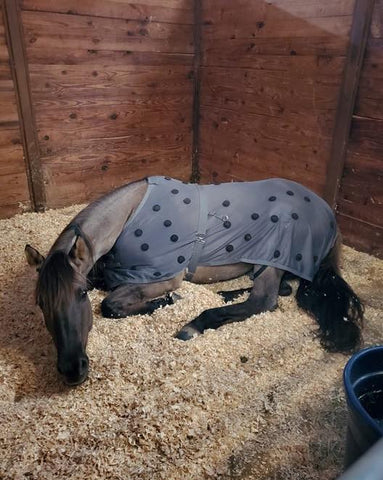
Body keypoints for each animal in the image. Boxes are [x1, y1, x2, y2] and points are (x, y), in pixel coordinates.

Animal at [25, 176, 364, 386]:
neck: (128, 217)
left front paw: (166, 302)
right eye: (40, 303)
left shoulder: (162, 276)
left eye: (81, 294)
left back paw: (194, 325)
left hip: (272, 256)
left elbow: (111, 305)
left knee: (264, 300)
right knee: (280, 290)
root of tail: (330, 218)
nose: (72, 370)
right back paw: (222, 296)